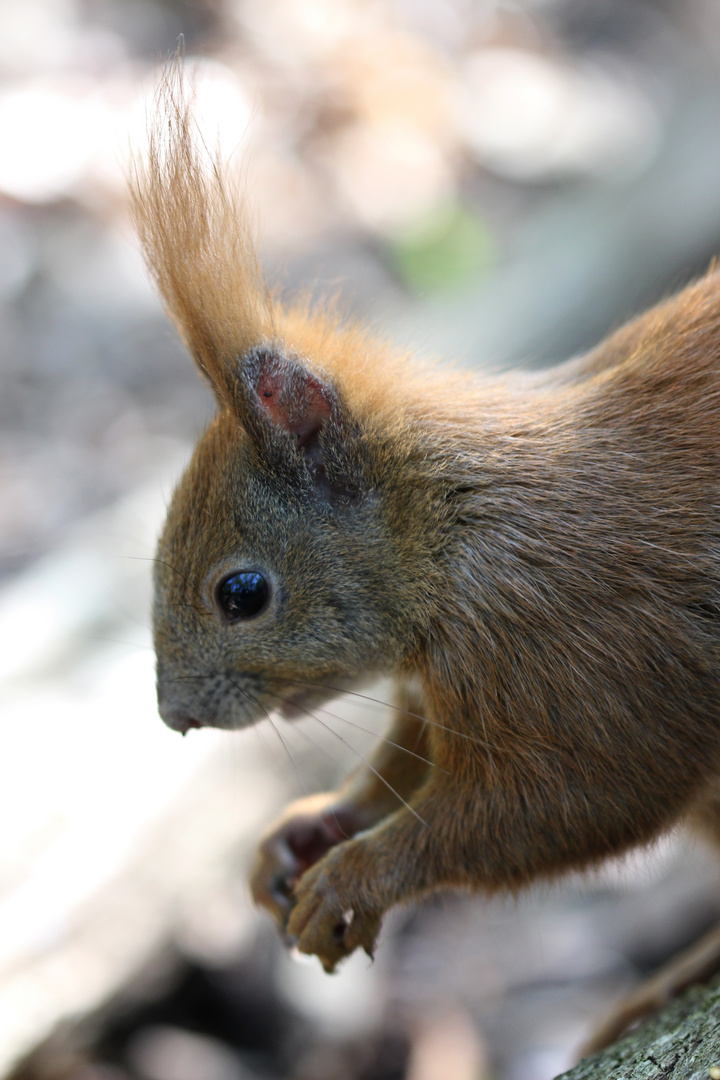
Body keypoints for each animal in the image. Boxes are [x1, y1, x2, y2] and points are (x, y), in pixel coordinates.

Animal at [132, 67, 720, 1045]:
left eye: (242, 592)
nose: (174, 716)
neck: (452, 534)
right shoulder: (444, 688)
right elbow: (410, 758)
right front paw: (310, 830)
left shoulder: (580, 645)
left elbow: (570, 798)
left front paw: (355, 876)